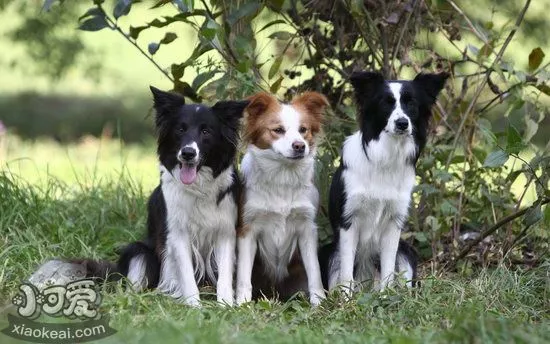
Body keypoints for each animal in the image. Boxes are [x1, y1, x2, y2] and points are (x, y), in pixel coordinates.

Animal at [236, 92, 328, 306]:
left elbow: (315, 272)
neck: (283, 176)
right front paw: (241, 304)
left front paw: (319, 303)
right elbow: (244, 276)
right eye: (278, 130)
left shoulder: (307, 228)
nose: (300, 146)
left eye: (303, 130)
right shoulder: (248, 229)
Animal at [324, 70, 448, 292]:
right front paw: (347, 299)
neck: (386, 156)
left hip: (406, 251)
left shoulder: (393, 223)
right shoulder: (348, 222)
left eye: (411, 103)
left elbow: (388, 268)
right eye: (386, 103)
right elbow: (346, 272)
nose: (402, 123)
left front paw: (385, 295)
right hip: (329, 252)